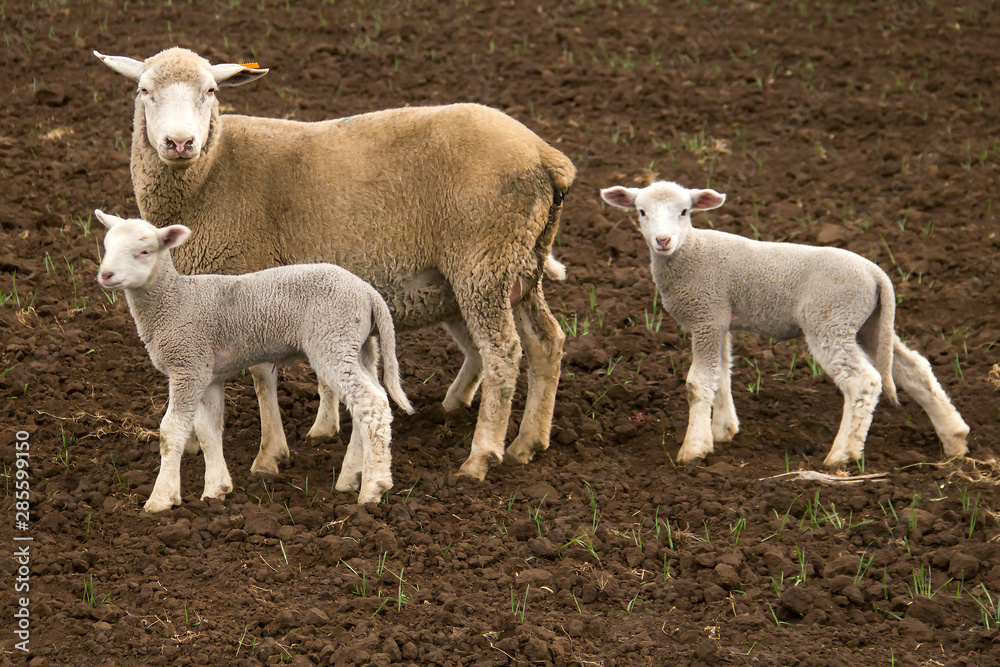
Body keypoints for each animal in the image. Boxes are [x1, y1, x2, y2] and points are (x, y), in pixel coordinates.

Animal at [94, 47, 575, 482]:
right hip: (516, 266)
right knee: (546, 342)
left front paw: (270, 453)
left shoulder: (250, 275)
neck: (213, 169)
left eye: (211, 91)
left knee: (503, 352)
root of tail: (546, 156)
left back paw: (481, 457)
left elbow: (261, 374)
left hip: (483, 261)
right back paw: (528, 442)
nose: (179, 143)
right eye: (143, 90)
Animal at [94, 209, 414, 512]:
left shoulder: (189, 364)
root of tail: (368, 293)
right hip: (359, 347)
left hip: (332, 339)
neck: (176, 300)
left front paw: (161, 499)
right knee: (369, 403)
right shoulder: (209, 374)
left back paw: (373, 487)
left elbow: (170, 432)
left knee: (371, 403)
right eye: (107, 246)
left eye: (145, 251)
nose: (105, 275)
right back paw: (350, 478)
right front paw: (216, 489)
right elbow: (208, 430)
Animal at [600, 180, 970, 467]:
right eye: (641, 212)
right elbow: (722, 375)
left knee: (863, 382)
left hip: (830, 319)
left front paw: (694, 449)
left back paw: (842, 455)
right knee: (914, 369)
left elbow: (698, 383)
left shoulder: (706, 314)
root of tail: (877, 274)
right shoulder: (718, 318)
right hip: (869, 323)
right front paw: (723, 431)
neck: (692, 251)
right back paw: (954, 439)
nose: (662, 241)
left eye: (684, 212)